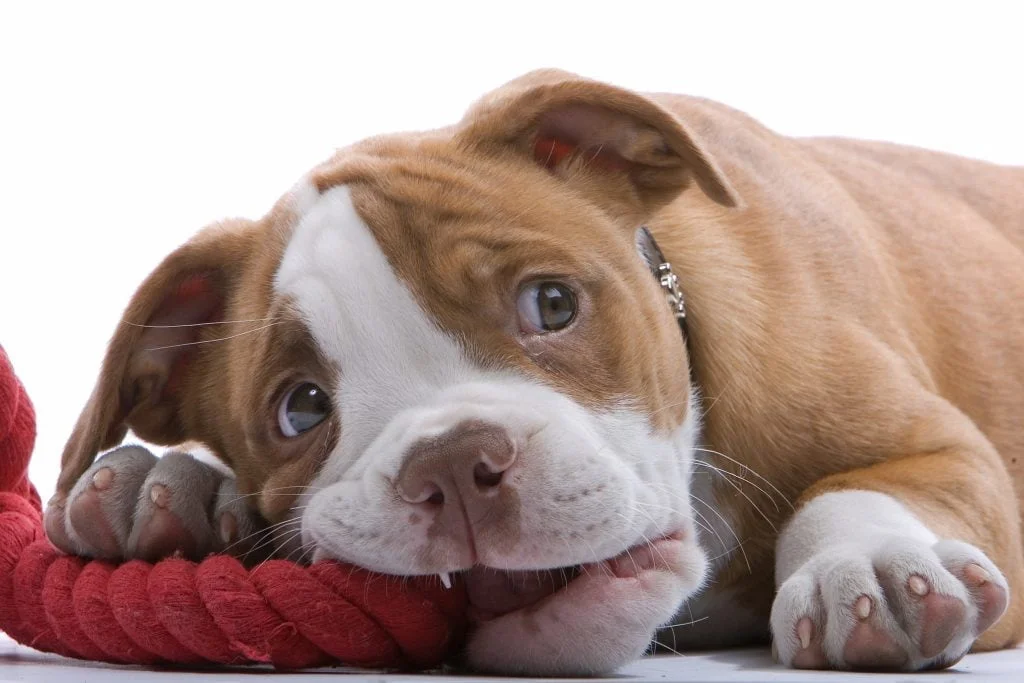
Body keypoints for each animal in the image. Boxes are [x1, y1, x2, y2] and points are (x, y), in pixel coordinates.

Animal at [44, 69, 1024, 671]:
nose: (450, 462)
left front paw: (872, 564)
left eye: (551, 305)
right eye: (302, 409)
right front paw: (170, 485)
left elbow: (850, 489)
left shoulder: (945, 450)